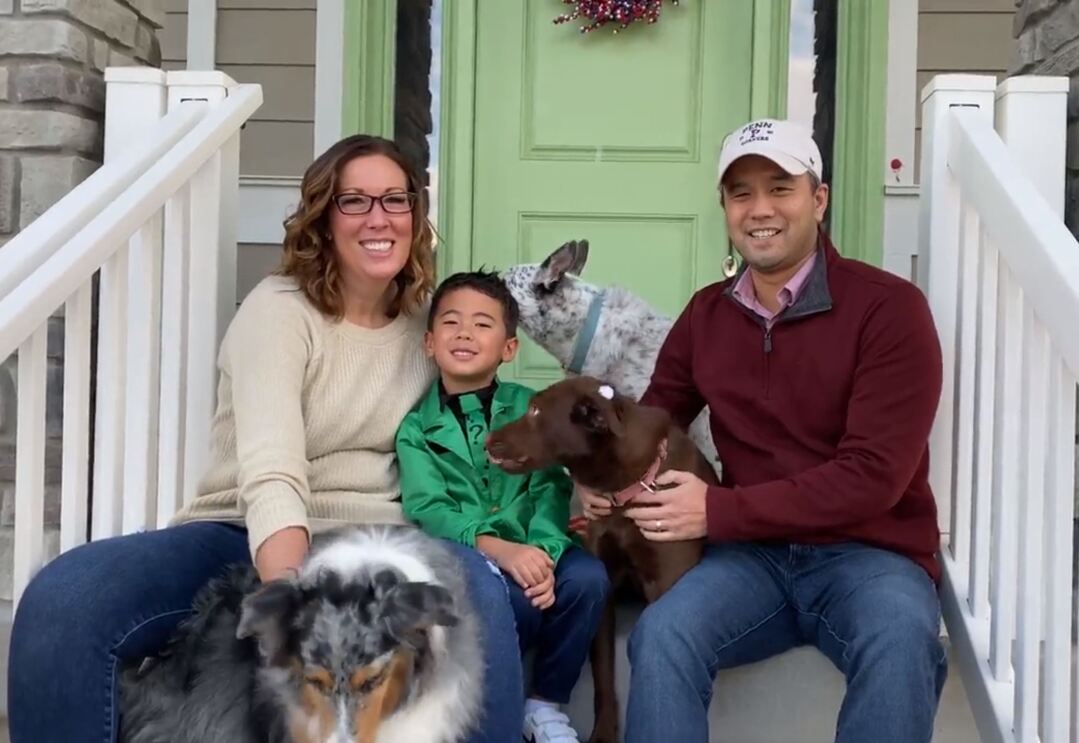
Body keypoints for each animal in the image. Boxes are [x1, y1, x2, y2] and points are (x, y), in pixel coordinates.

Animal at [487, 377, 716, 741]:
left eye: (535, 410)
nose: (487, 440)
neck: (627, 486)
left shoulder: (667, 581)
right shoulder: (606, 591)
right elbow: (604, 675)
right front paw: (605, 731)